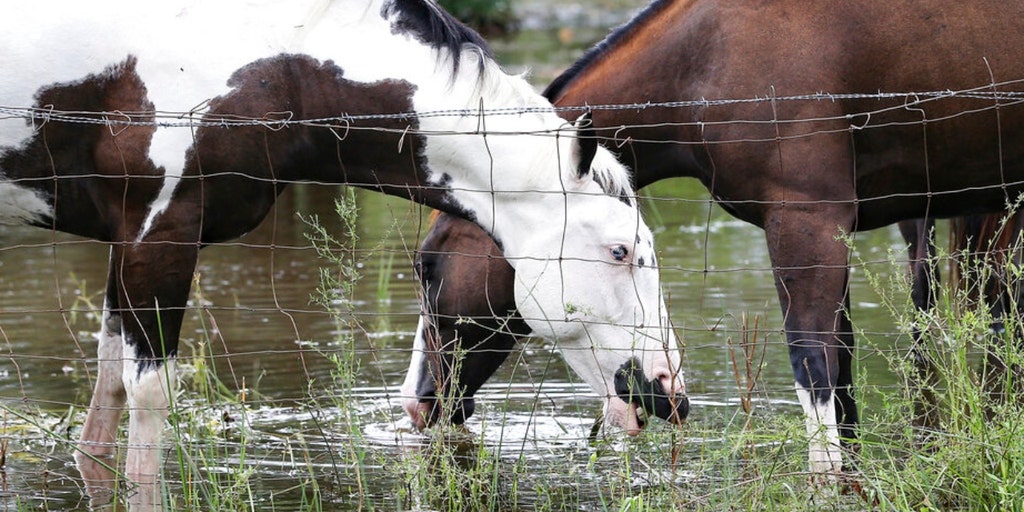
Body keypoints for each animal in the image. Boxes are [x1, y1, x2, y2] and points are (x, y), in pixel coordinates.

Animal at [0, 0, 686, 507]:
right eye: (620, 250)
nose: (669, 393)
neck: (273, 61)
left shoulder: (129, 247)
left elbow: (103, 413)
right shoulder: (159, 237)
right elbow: (146, 406)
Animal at [402, 0, 1024, 477]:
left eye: (426, 266)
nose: (416, 403)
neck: (707, 57)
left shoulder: (807, 222)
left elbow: (815, 372)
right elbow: (844, 379)